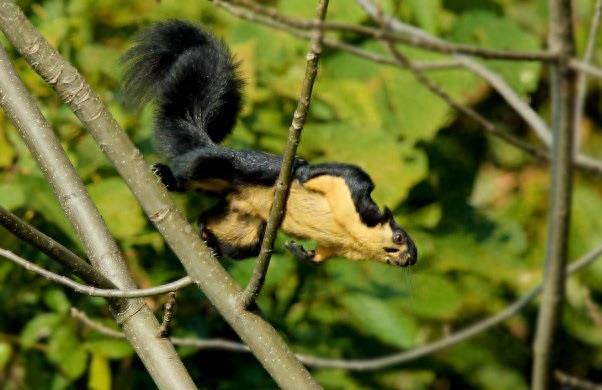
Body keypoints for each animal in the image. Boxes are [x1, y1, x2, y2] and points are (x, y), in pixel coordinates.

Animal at [119, 19, 414, 266]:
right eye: (399, 237)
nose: (411, 258)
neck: (356, 238)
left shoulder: (336, 248)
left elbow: (319, 255)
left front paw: (301, 251)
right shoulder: (353, 196)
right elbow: (345, 175)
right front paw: (301, 169)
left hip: (243, 228)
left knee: (221, 228)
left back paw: (208, 239)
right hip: (220, 165)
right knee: (191, 171)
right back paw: (166, 175)